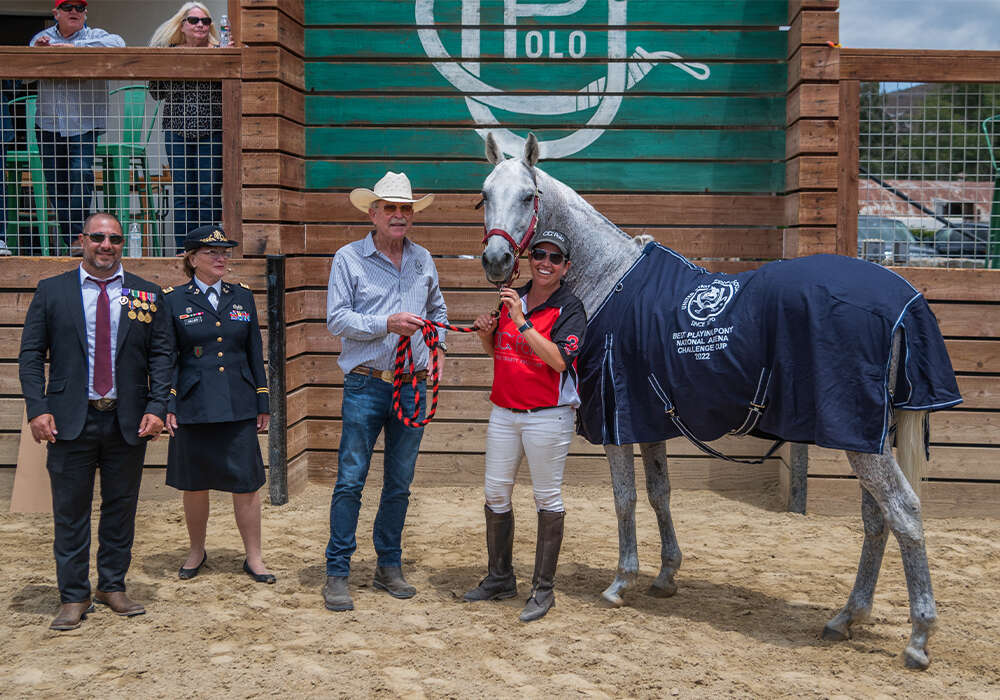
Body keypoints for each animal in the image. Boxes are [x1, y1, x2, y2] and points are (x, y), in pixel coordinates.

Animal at [476, 133, 960, 668]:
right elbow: (660, 493)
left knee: (904, 514)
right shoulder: (649, 418)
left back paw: (918, 638)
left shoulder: (617, 421)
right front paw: (666, 575)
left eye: (528, 197)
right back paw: (847, 617)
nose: (496, 260)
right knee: (877, 520)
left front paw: (622, 581)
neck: (609, 279)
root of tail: (905, 298)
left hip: (860, 440)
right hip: (871, 437)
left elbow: (625, 499)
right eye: (484, 194)